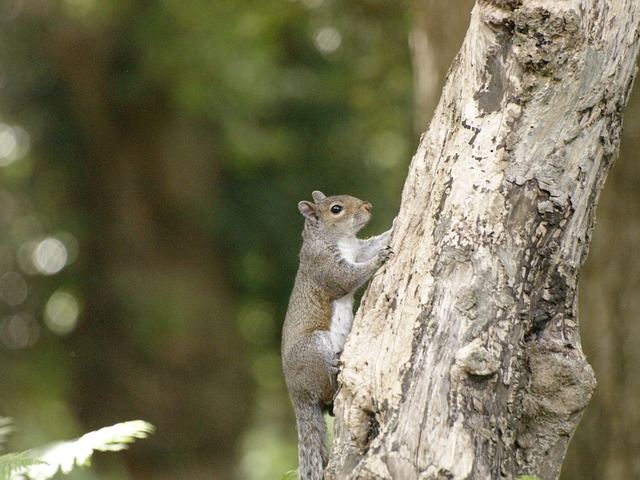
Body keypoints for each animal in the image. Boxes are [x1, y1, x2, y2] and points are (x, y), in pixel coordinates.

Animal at [281, 190, 393, 480]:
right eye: (336, 209)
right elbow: (347, 279)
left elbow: (372, 244)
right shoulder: (325, 267)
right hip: (315, 347)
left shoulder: (358, 249)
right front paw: (379, 260)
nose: (368, 206)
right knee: (325, 393)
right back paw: (334, 369)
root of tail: (298, 397)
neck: (339, 239)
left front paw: (395, 224)